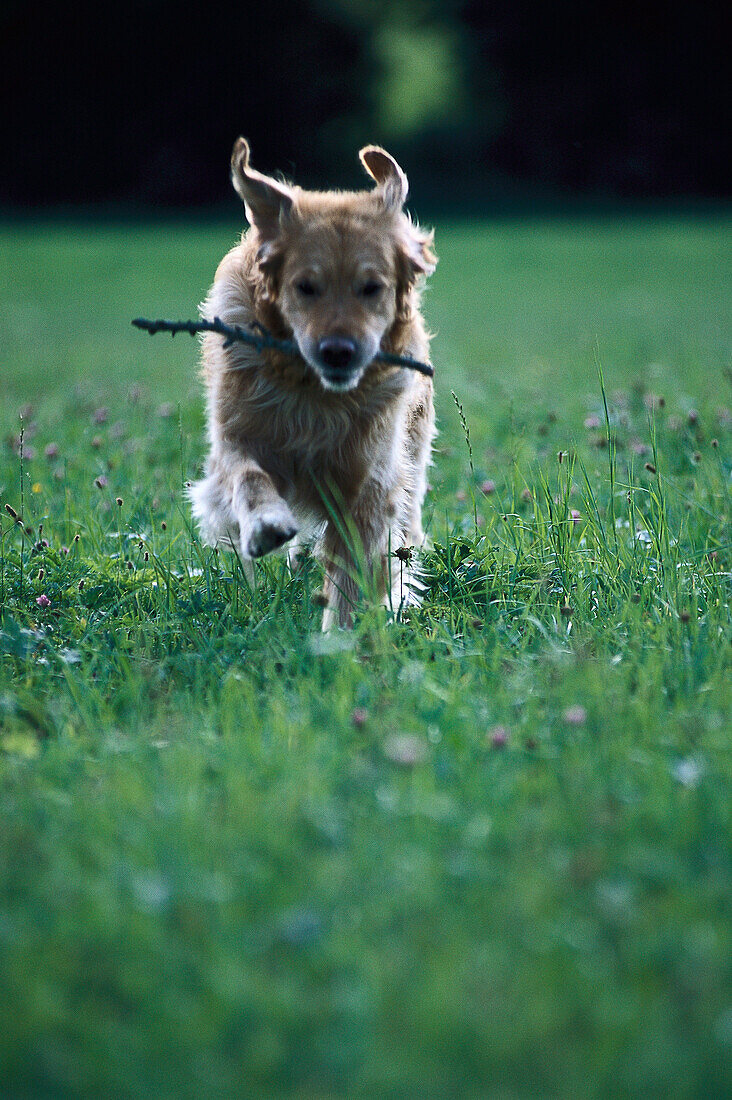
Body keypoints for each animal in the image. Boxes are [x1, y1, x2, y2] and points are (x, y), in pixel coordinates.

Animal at [191, 139, 435, 629]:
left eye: (372, 288)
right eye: (305, 287)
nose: (338, 351)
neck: (314, 393)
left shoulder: (368, 482)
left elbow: (351, 573)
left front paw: (338, 639)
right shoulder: (234, 437)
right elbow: (247, 476)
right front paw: (266, 525)